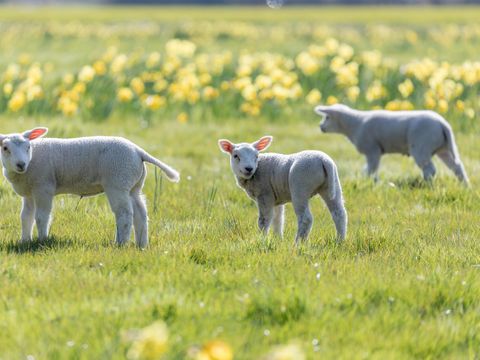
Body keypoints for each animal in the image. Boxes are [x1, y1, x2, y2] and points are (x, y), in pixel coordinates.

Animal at [0, 128, 180, 249]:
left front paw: (42, 240)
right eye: (5, 148)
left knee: (124, 213)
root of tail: (138, 151)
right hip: (133, 185)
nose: (21, 164)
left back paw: (120, 243)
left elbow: (41, 217)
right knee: (140, 213)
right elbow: (26, 217)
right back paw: (141, 244)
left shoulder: (43, 187)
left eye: (28, 147)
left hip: (117, 181)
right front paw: (25, 240)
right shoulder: (29, 192)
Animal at [316, 102, 468, 184]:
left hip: (421, 147)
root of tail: (443, 124)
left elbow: (371, 169)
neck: (355, 124)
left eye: (327, 117)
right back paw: (465, 186)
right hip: (443, 149)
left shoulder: (373, 150)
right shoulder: (373, 152)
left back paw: (427, 184)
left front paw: (369, 181)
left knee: (430, 169)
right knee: (457, 167)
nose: (320, 127)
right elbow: (368, 169)